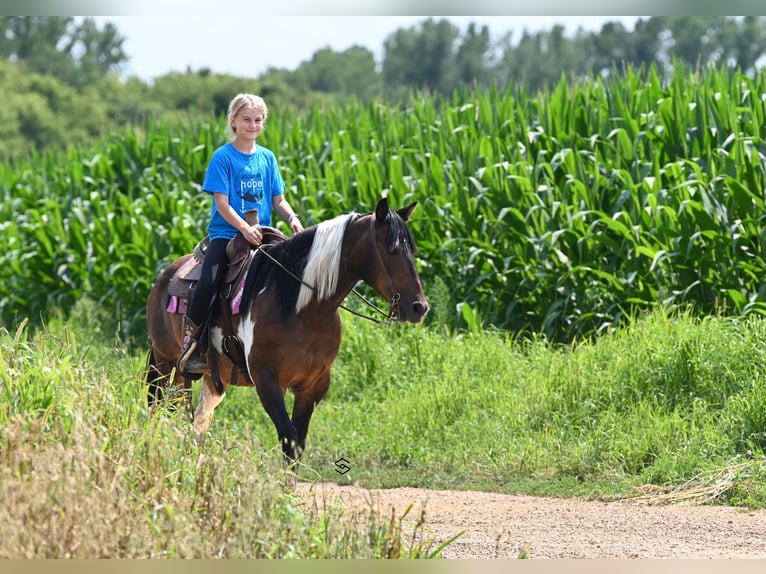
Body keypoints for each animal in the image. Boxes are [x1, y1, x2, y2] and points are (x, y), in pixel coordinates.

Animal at [146, 198, 428, 464]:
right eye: (392, 250)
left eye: (412, 250)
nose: (419, 307)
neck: (303, 309)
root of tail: (164, 277)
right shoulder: (268, 382)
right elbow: (288, 438)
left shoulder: (313, 385)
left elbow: (298, 442)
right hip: (168, 366)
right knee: (172, 413)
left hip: (212, 379)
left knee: (199, 420)